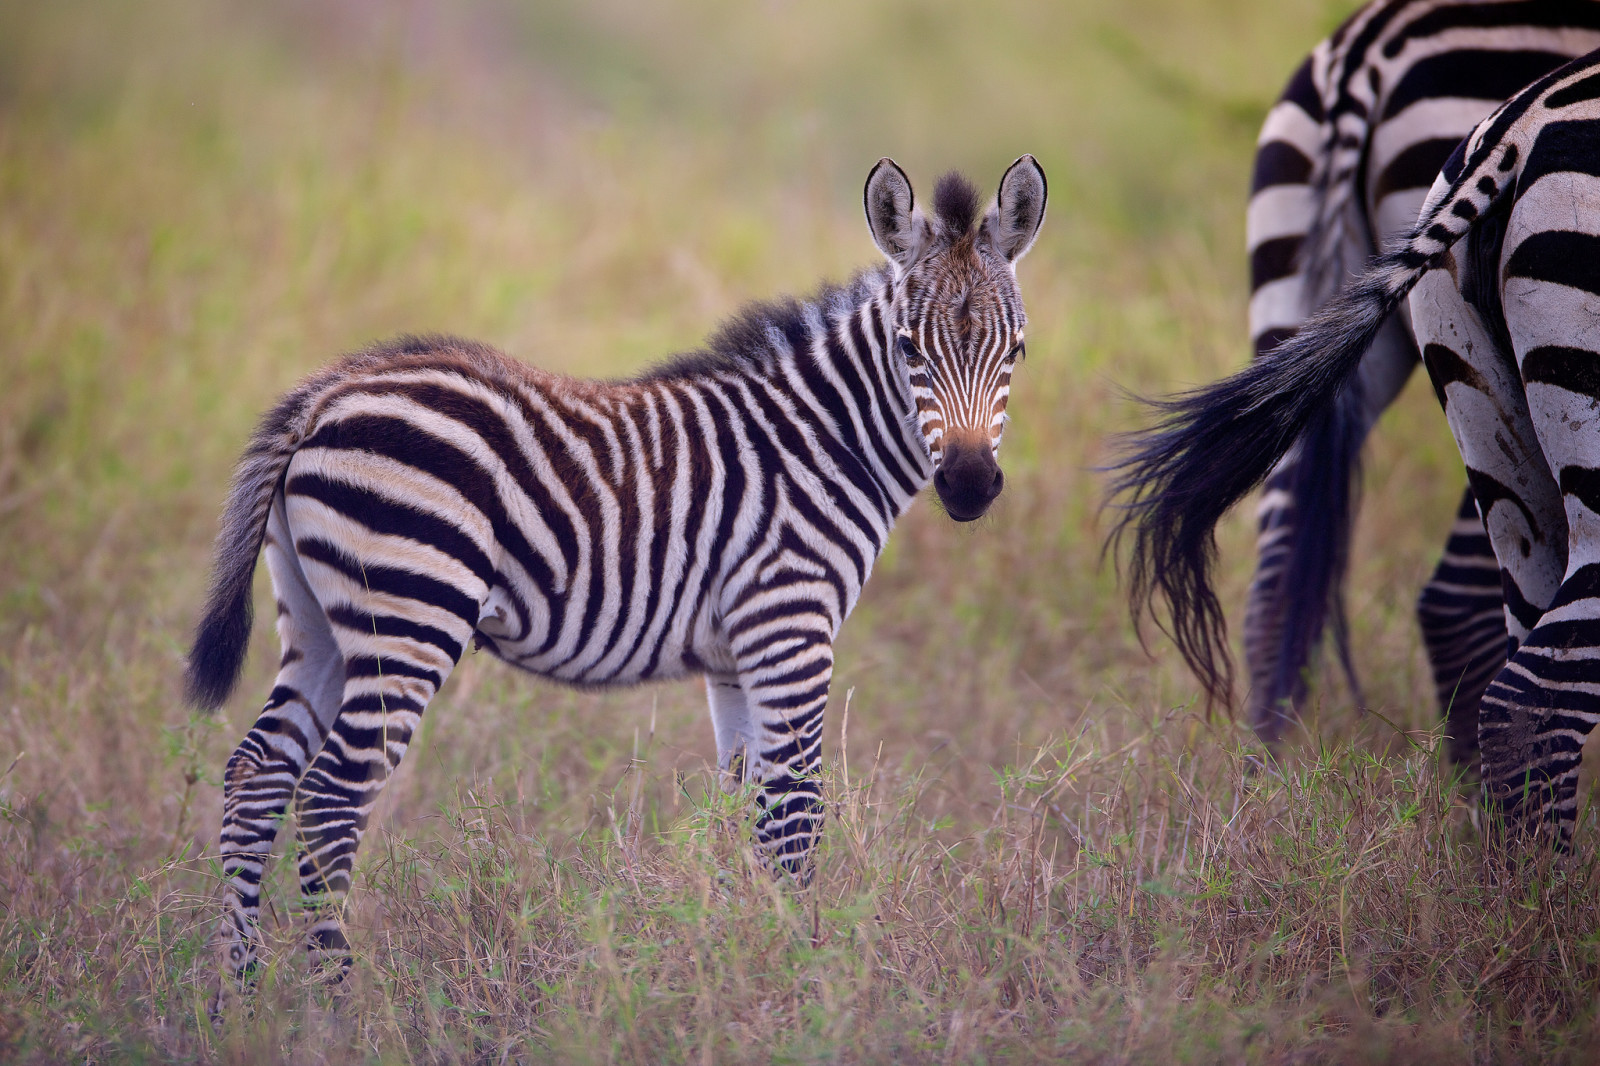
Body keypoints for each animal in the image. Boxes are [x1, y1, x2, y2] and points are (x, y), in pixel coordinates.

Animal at [190, 153, 1049, 973]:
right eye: (909, 350)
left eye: (1017, 351)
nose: (969, 485)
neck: (822, 442)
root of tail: (326, 394)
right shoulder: (790, 625)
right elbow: (795, 817)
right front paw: (808, 972)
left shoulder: (734, 656)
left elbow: (742, 810)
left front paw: (736, 957)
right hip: (410, 610)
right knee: (331, 798)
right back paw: (335, 995)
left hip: (318, 619)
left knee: (255, 776)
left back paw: (243, 991)